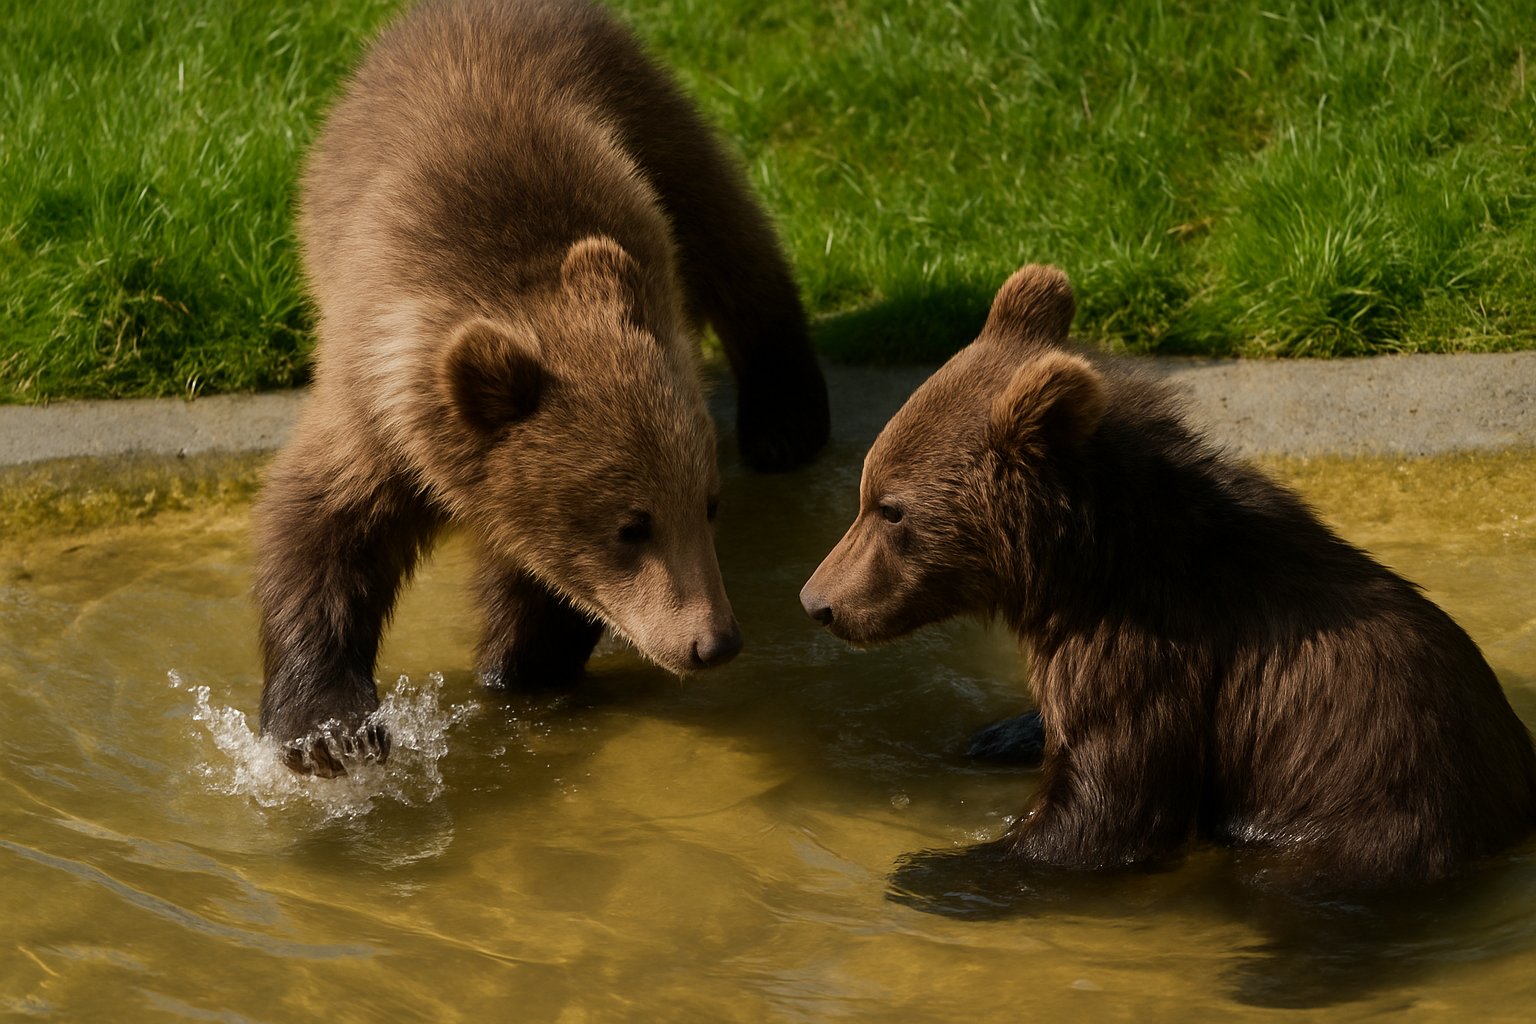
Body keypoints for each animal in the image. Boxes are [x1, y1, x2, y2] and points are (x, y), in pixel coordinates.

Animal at [255, 0, 829, 776]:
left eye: (707, 503)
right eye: (631, 524)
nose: (714, 641)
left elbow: (542, 581)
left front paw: (519, 665)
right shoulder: (375, 409)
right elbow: (319, 528)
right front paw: (332, 731)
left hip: (647, 108)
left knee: (729, 236)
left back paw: (785, 419)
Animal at [800, 263, 1536, 890]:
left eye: (891, 508)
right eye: (868, 491)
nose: (818, 602)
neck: (1085, 565)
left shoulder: (1151, 651)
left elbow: (1111, 805)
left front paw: (938, 869)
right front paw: (999, 734)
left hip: (1370, 809)